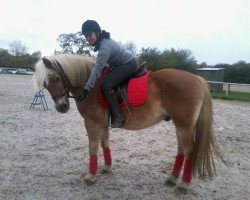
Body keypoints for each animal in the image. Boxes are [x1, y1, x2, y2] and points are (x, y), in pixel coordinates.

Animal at [32, 53, 222, 191]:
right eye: (45, 84)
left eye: (56, 78)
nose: (62, 107)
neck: (90, 85)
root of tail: (197, 79)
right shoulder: (102, 123)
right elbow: (105, 144)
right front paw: (107, 168)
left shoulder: (92, 122)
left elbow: (93, 147)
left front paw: (90, 176)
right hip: (180, 125)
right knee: (181, 150)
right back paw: (172, 178)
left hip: (184, 125)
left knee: (189, 151)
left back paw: (183, 184)